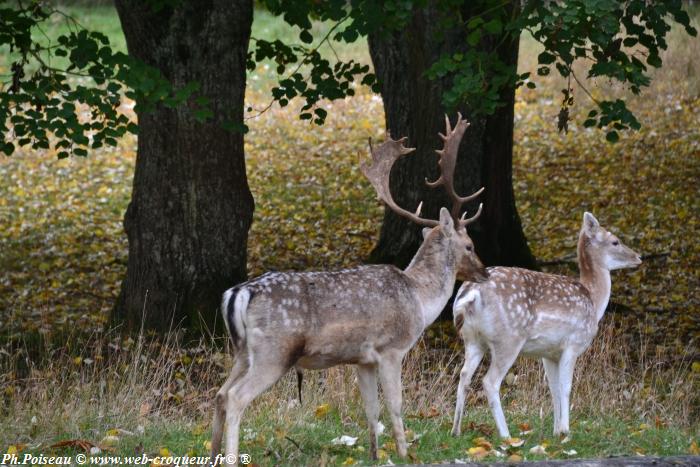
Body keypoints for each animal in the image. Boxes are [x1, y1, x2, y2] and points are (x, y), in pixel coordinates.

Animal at [211, 114, 486, 464]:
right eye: (469, 245)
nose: (485, 272)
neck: (419, 299)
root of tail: (238, 294)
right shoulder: (391, 348)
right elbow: (395, 405)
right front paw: (405, 453)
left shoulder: (362, 358)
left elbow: (371, 409)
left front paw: (374, 454)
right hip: (274, 351)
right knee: (235, 397)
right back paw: (231, 457)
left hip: (242, 351)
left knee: (220, 393)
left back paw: (213, 454)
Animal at [452, 212, 644, 438]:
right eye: (615, 241)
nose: (638, 257)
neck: (593, 301)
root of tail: (470, 294)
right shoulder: (573, 343)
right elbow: (566, 386)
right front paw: (566, 431)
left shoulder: (548, 353)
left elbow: (553, 388)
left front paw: (556, 431)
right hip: (507, 339)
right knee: (489, 381)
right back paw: (506, 435)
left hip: (472, 339)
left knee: (464, 375)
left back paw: (456, 430)